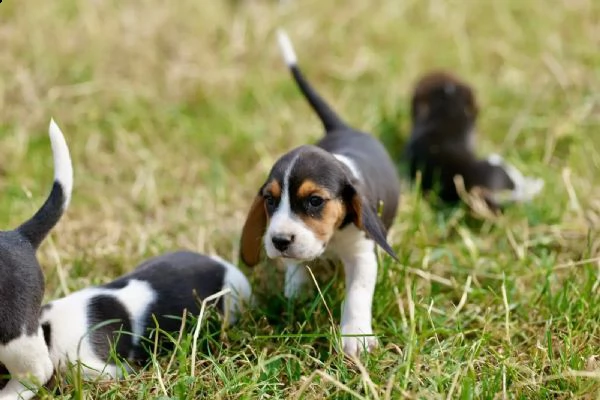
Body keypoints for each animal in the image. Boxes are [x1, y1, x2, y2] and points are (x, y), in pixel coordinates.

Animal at [238, 30, 398, 356]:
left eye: (315, 201)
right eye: (270, 200)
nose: (279, 240)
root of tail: (344, 127)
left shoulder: (362, 253)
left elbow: (358, 293)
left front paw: (356, 336)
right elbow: (296, 265)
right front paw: (295, 293)